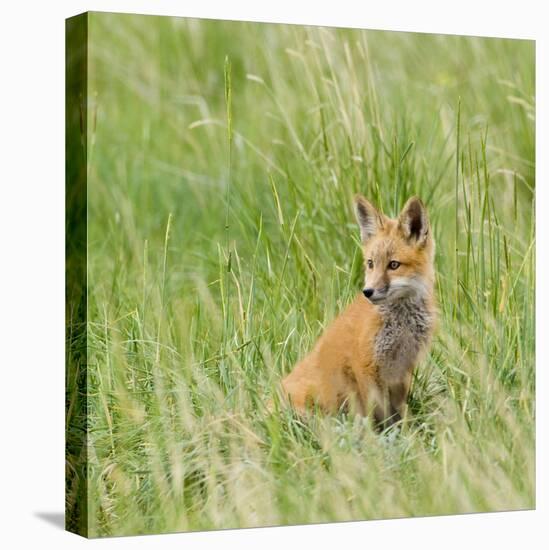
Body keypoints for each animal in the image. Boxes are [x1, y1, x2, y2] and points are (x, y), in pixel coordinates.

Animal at [280, 196, 434, 430]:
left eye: (394, 265)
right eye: (370, 263)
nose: (367, 292)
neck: (401, 325)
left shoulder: (403, 369)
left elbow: (400, 413)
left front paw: (407, 432)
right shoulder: (365, 366)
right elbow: (379, 413)